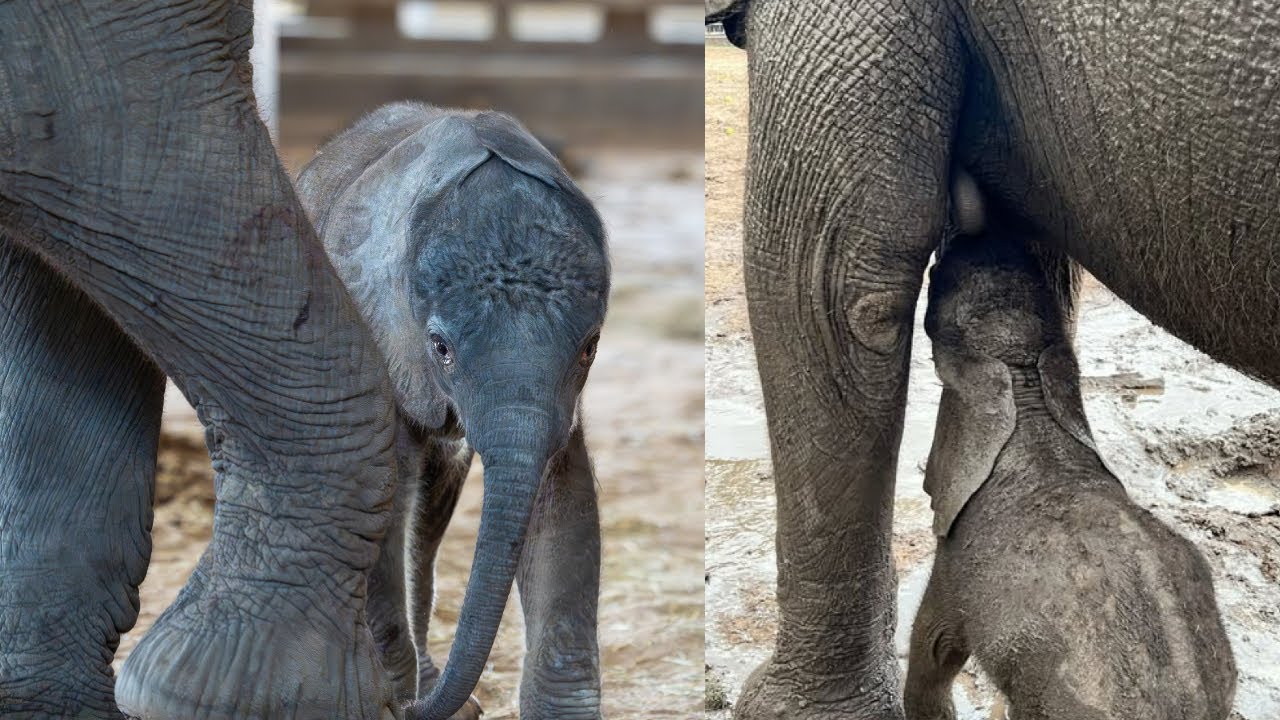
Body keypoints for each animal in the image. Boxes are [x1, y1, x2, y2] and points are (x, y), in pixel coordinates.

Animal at [293, 102, 610, 720]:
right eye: (440, 347)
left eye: (590, 347)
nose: (411, 708)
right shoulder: (379, 333)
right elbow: (381, 493)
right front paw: (391, 697)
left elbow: (564, 499)